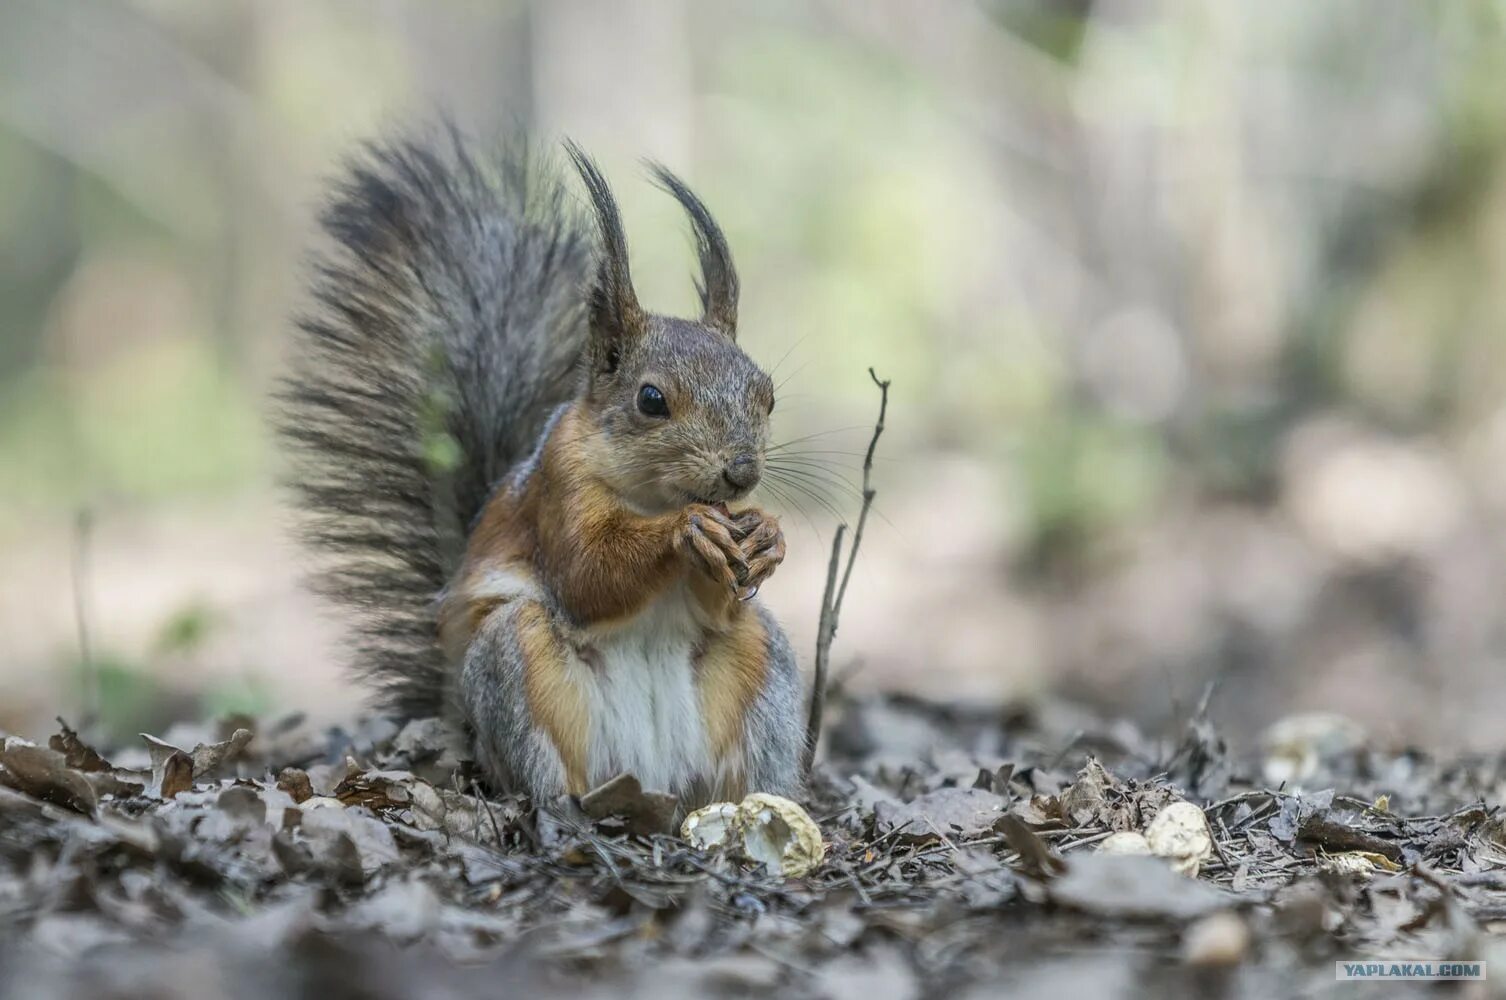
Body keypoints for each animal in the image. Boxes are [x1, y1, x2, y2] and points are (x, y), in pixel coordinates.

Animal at [278, 131, 807, 807]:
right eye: (651, 399)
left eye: (767, 394)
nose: (741, 472)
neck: (653, 496)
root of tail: (650, 778)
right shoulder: (558, 485)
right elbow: (586, 575)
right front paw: (686, 530)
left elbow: (721, 597)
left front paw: (767, 536)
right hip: (516, 661)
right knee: (545, 760)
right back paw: (566, 810)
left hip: (760, 664)